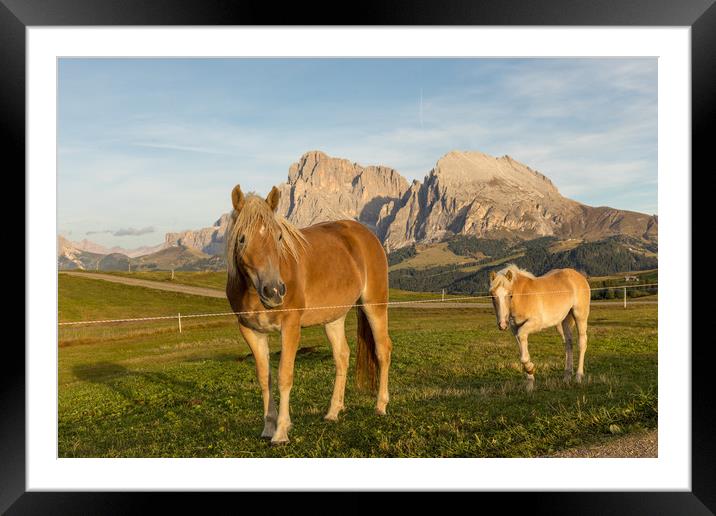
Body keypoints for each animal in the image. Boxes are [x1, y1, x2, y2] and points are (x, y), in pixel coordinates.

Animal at [225, 184, 392, 444]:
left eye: (279, 237)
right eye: (242, 238)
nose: (274, 291)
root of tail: (367, 235)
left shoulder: (290, 328)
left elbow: (284, 376)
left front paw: (281, 432)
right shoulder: (251, 331)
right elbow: (265, 378)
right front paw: (268, 427)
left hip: (375, 305)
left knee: (383, 350)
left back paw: (380, 405)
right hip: (334, 318)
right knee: (342, 356)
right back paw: (333, 411)